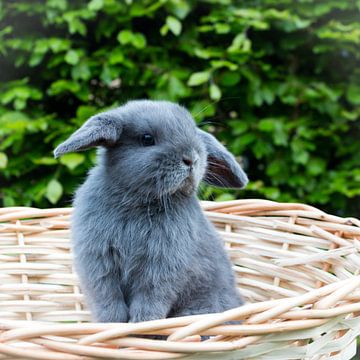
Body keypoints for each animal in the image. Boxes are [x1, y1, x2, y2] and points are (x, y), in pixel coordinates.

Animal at [54, 100, 249, 322]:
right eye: (147, 139)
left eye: (194, 134)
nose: (192, 158)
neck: (138, 199)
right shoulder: (100, 263)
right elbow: (108, 298)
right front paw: (112, 323)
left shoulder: (162, 265)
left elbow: (150, 297)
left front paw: (142, 323)